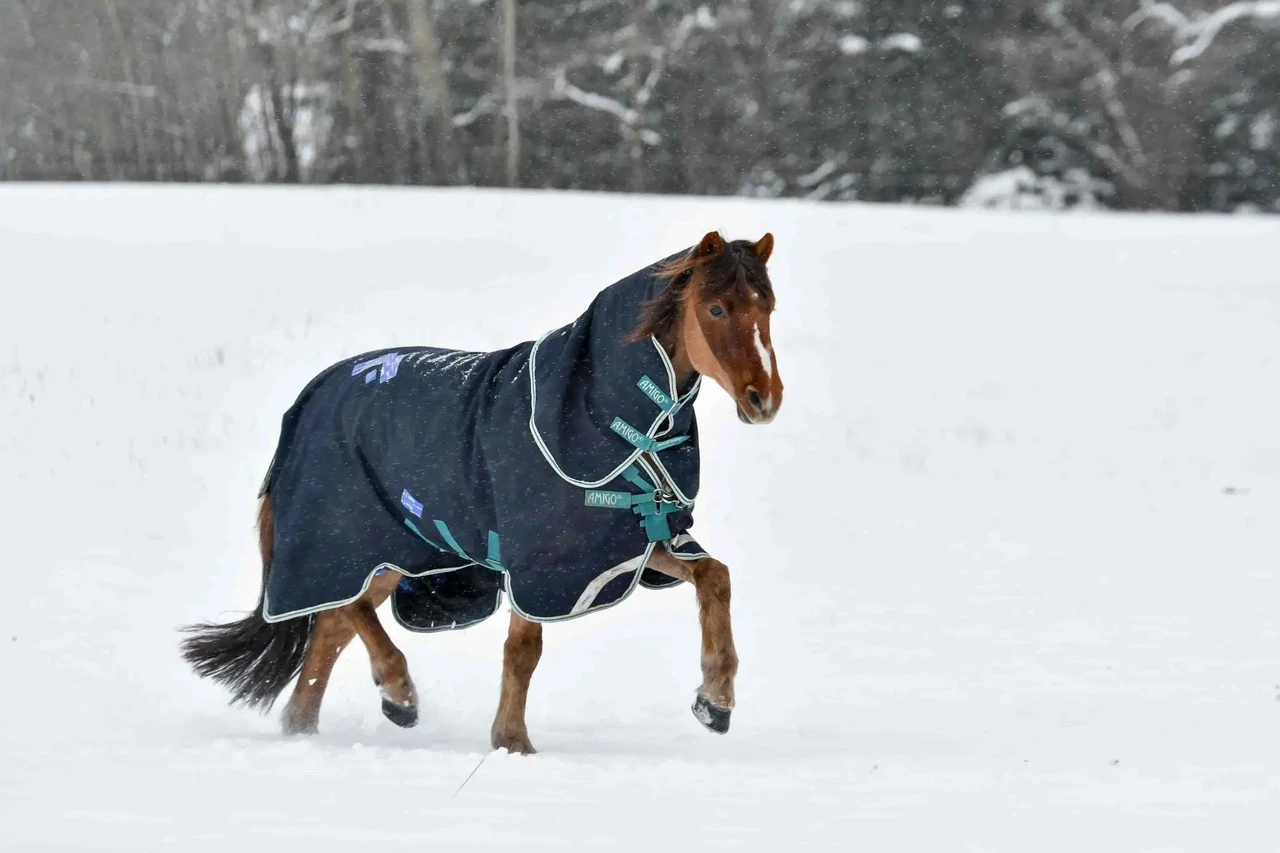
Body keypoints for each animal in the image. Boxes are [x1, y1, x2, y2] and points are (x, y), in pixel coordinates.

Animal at [181, 230, 783, 754]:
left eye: (768, 309)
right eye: (716, 309)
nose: (765, 399)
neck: (612, 421)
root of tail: (315, 393)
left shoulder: (624, 544)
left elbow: (716, 578)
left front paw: (716, 701)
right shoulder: (543, 562)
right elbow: (523, 650)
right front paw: (511, 741)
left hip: (407, 549)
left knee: (332, 625)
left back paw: (307, 726)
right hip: (348, 538)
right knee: (344, 604)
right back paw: (398, 694)